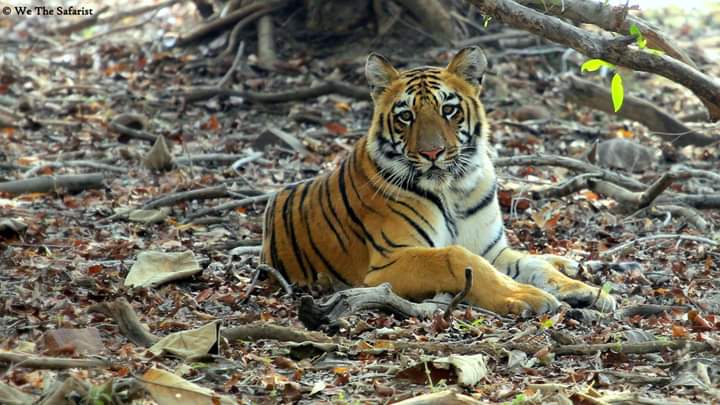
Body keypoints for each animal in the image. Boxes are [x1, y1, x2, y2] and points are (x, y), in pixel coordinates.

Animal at [262, 46, 616, 316]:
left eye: (449, 110)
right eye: (406, 116)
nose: (432, 152)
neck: (455, 189)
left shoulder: (491, 250)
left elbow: (533, 268)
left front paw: (588, 292)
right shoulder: (386, 264)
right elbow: (458, 258)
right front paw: (527, 297)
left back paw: (570, 265)